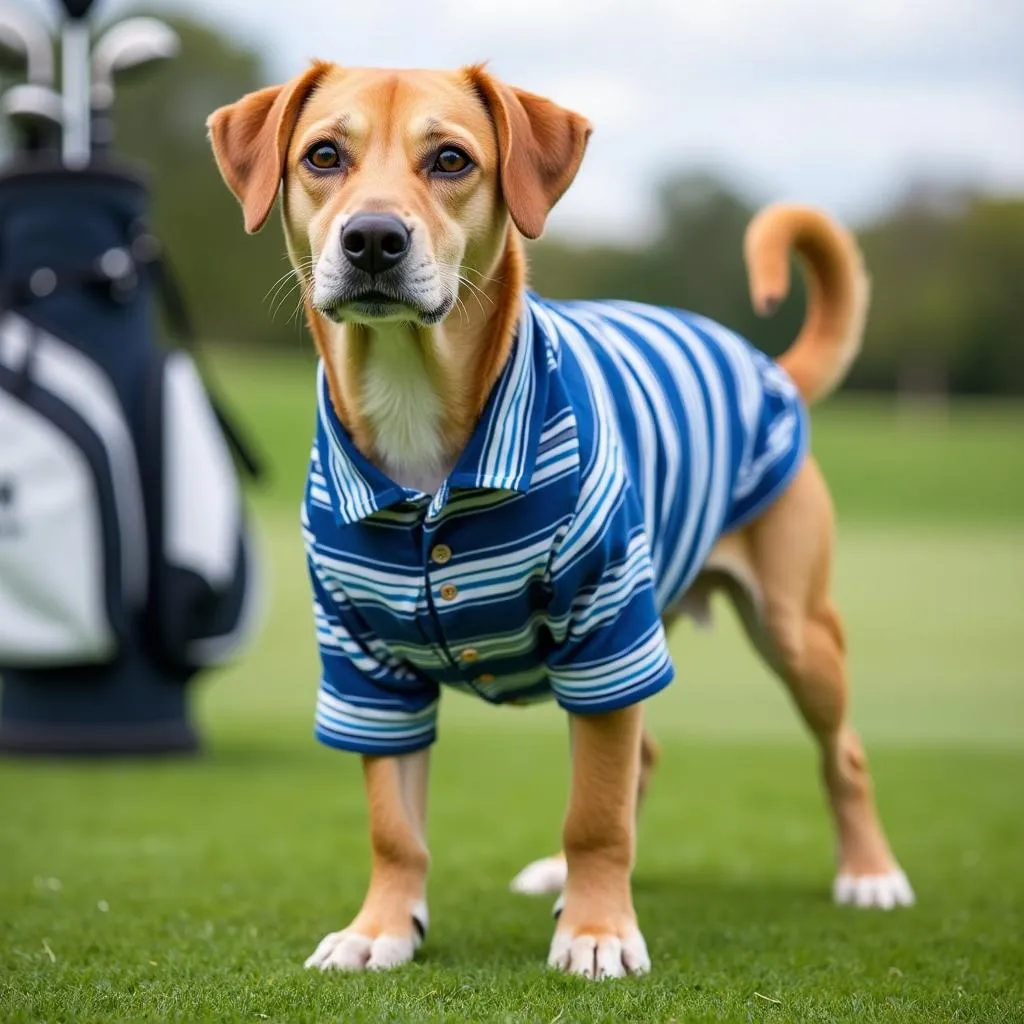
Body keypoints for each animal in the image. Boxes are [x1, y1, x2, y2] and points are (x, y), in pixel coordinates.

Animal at [207, 59, 913, 978]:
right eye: (324, 155)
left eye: (450, 160)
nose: (372, 239)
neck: (414, 409)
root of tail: (766, 367)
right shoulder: (363, 665)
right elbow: (395, 827)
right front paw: (381, 929)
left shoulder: (608, 630)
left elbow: (596, 812)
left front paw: (598, 930)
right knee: (643, 754)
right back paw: (559, 875)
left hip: (792, 630)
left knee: (842, 753)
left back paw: (868, 873)